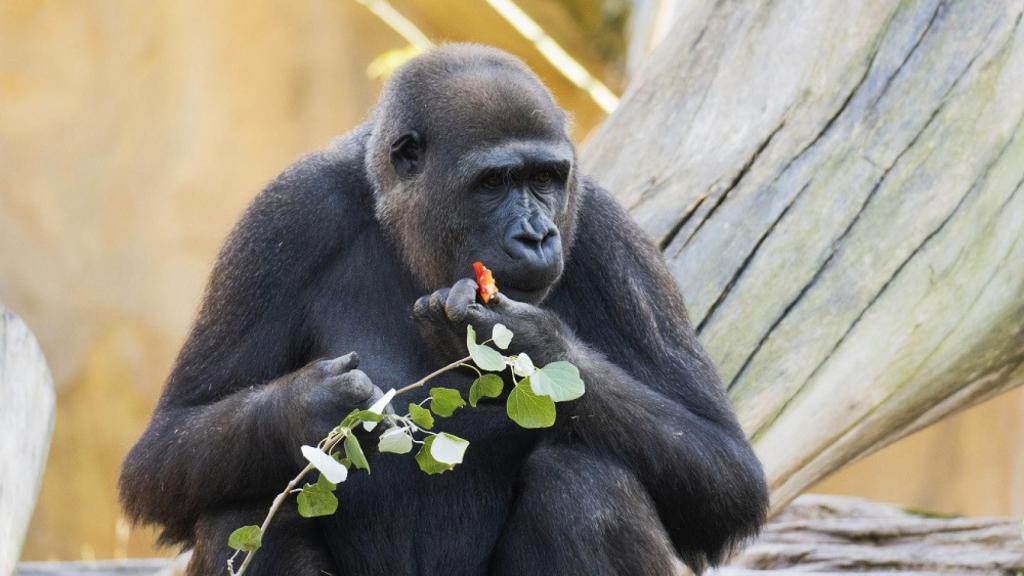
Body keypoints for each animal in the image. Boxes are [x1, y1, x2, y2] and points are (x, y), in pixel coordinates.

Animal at [119, 44, 770, 573]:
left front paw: (529, 343)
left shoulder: (611, 235)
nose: (537, 236)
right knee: (241, 503)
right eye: (495, 182)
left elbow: (726, 470)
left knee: (590, 484)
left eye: (546, 178)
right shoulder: (285, 218)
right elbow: (164, 449)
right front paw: (312, 405)